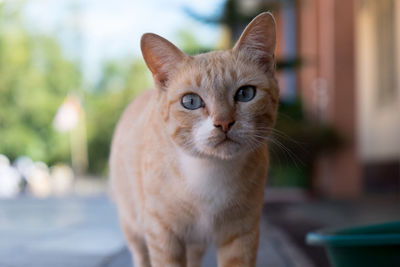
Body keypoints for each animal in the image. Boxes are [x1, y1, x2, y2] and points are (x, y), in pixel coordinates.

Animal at [108, 11, 278, 266]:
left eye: (245, 93)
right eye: (190, 102)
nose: (224, 122)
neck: (210, 171)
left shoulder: (242, 233)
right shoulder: (162, 234)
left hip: (197, 245)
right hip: (132, 224)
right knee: (139, 253)